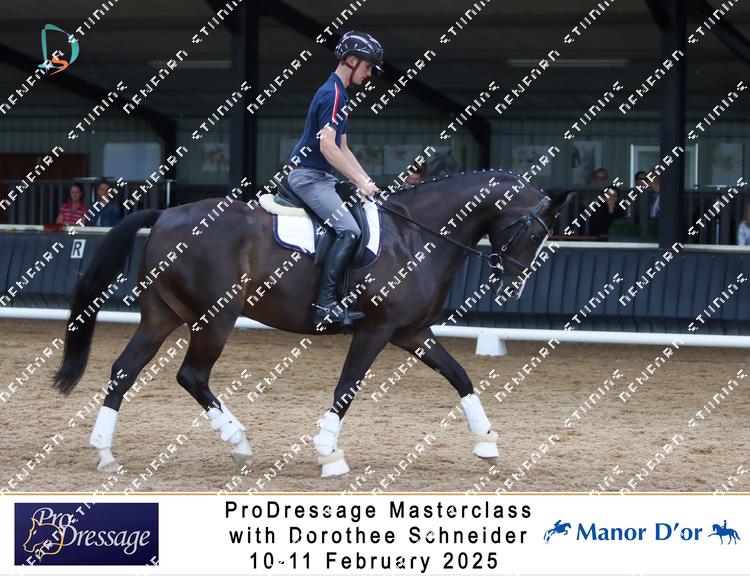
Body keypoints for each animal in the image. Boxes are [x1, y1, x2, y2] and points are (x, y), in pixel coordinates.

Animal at [53, 170, 568, 477]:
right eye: (534, 233)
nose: (512, 287)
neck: (415, 236)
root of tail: (166, 214)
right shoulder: (375, 332)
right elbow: (347, 388)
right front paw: (330, 454)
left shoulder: (412, 333)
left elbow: (459, 375)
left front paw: (486, 443)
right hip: (216, 317)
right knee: (191, 375)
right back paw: (239, 442)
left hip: (163, 316)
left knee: (124, 369)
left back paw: (105, 451)